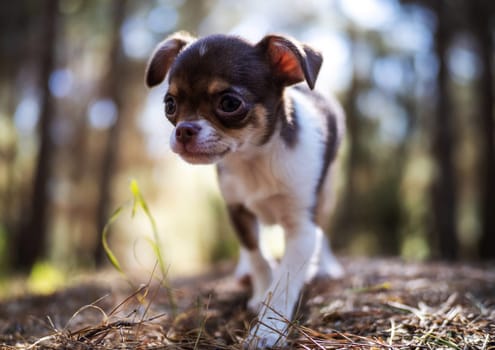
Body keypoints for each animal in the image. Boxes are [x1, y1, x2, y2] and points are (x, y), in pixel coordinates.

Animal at [146, 32, 344, 348]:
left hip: (325, 194)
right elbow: (257, 256)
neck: (254, 160)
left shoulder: (301, 228)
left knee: (322, 231)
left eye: (229, 103)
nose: (183, 130)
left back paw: (323, 265)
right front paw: (261, 291)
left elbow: (285, 282)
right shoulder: (237, 210)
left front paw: (267, 329)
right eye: (170, 105)